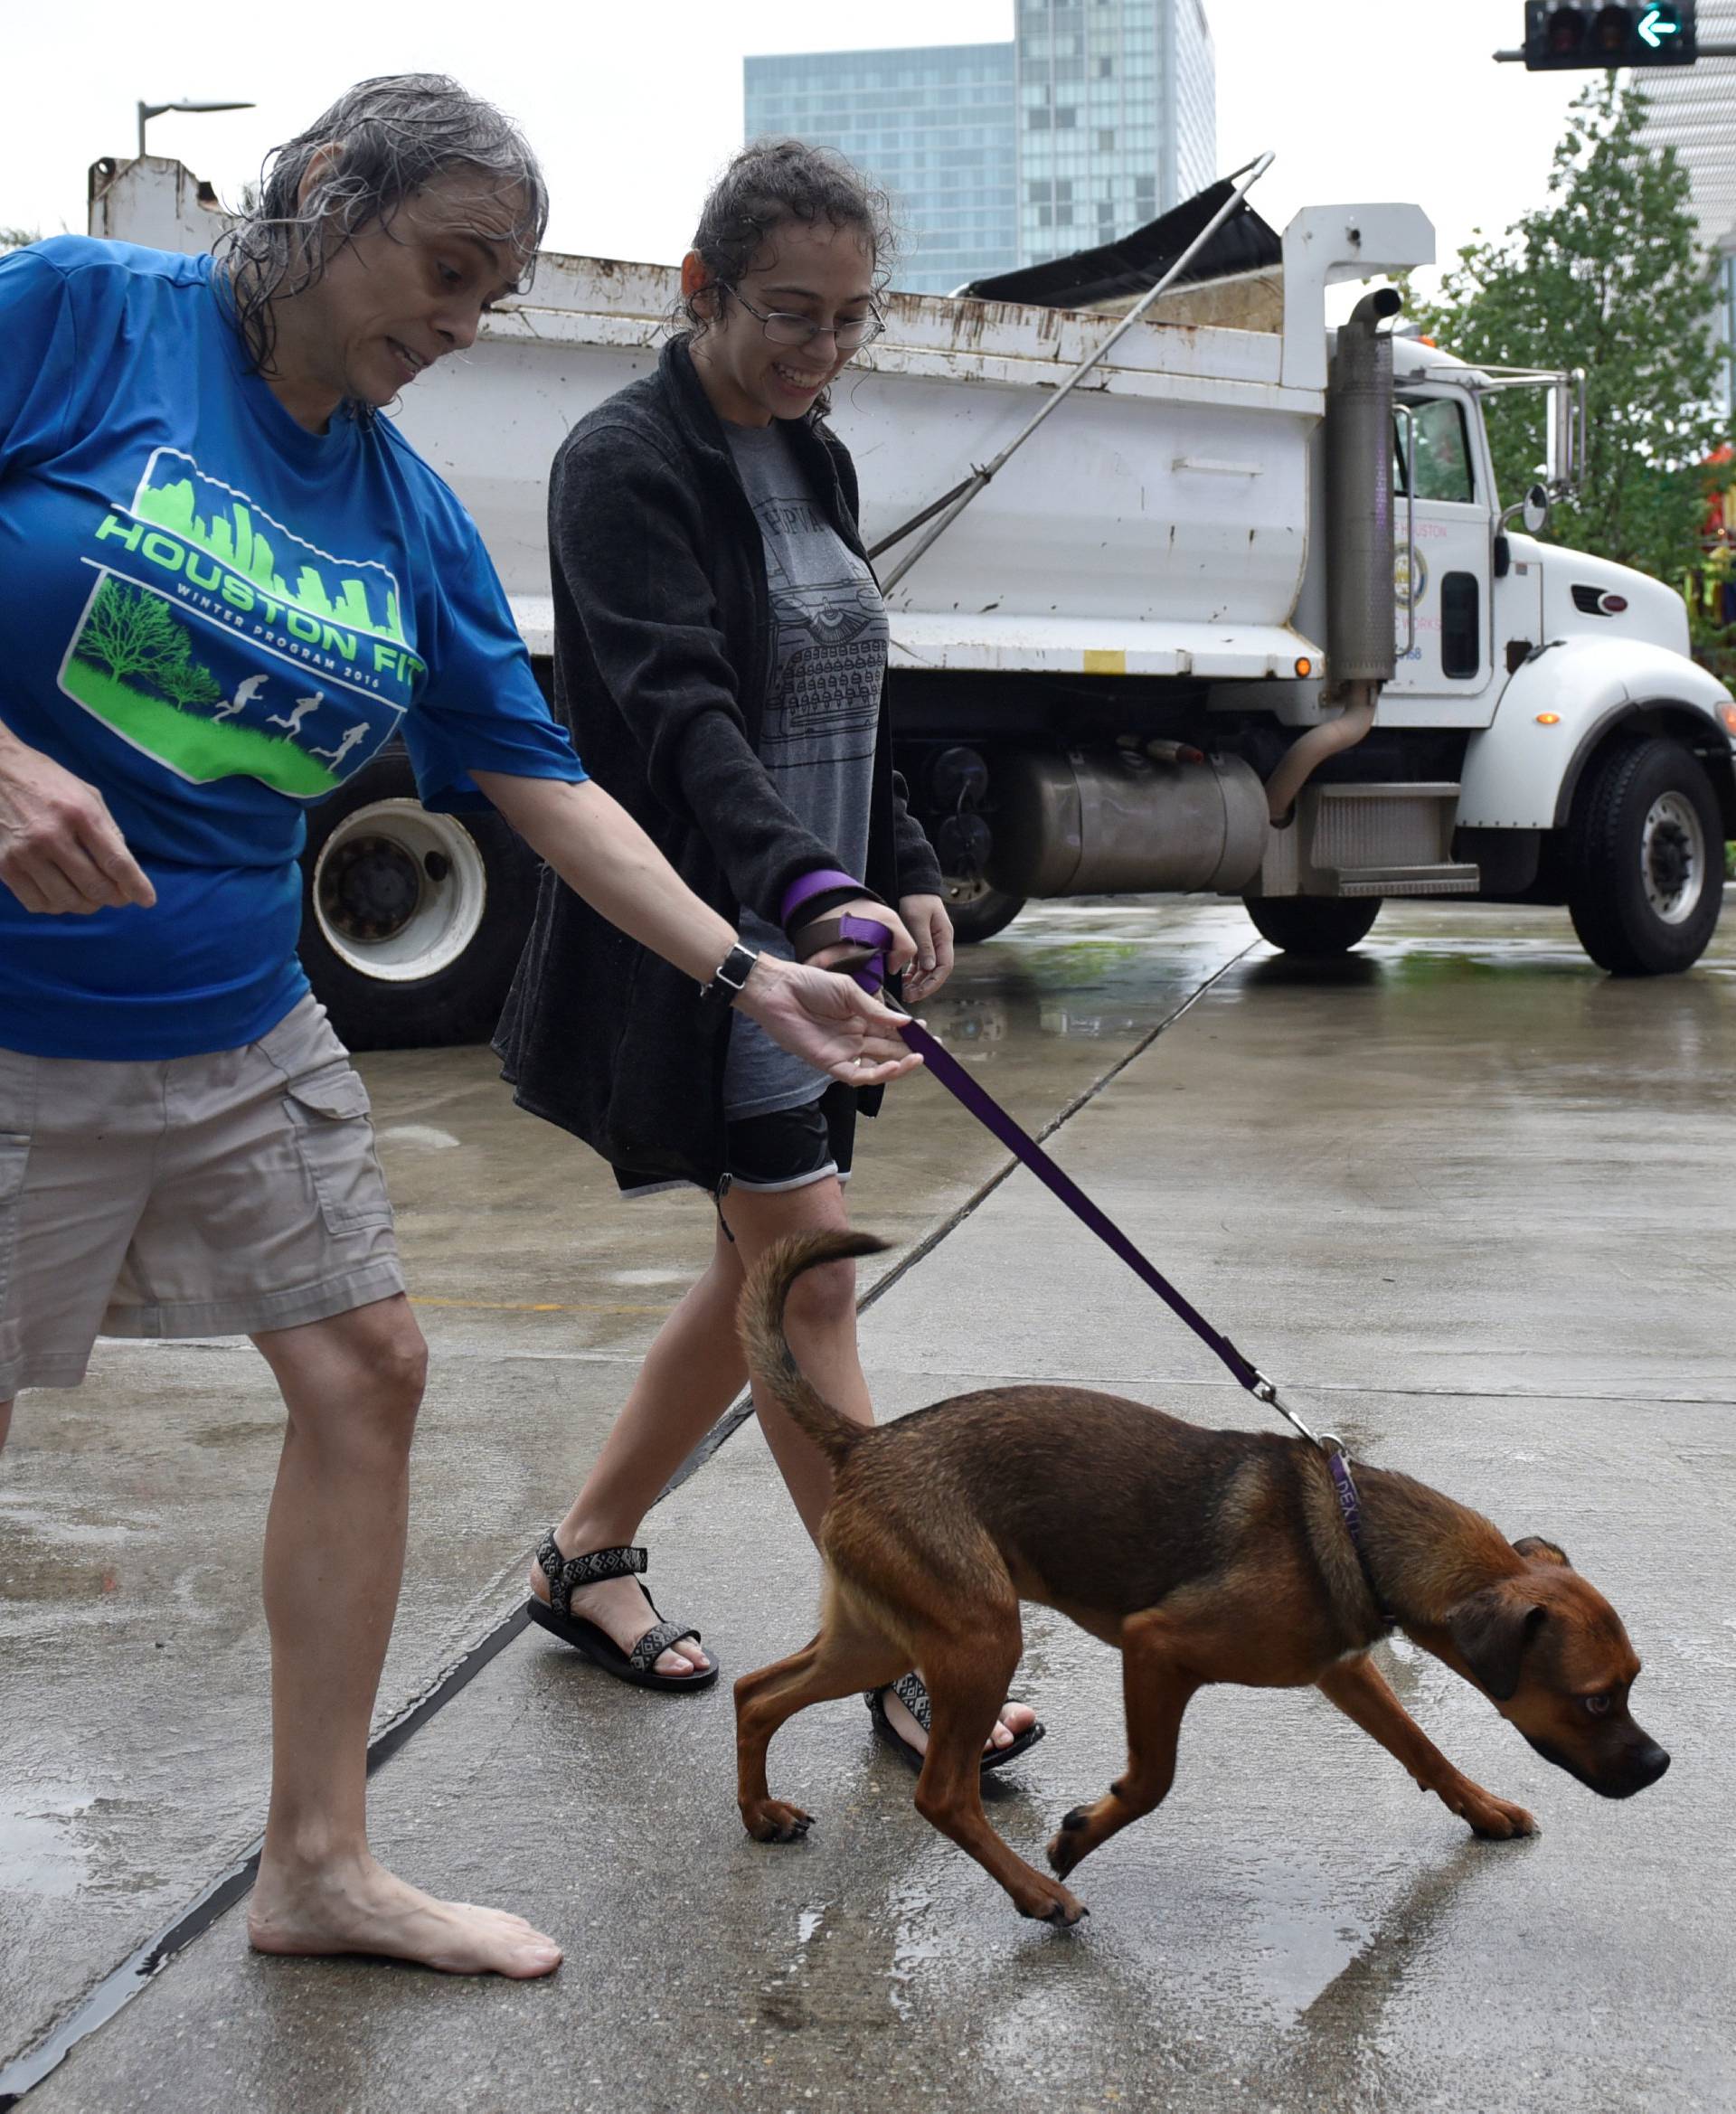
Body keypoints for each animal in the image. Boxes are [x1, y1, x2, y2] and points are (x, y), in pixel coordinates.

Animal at [731, 1234, 1665, 1928]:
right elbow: (1152, 1781)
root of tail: (865, 1442)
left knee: (757, 1693)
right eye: (1594, 1700)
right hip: (981, 1641)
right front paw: (1080, 1835)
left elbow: (1421, 1746)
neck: (1357, 1532)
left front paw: (1482, 1809)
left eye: (1632, 1684)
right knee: (940, 1794)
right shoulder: (1157, 1649)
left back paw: (761, 1814)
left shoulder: (1344, 1671)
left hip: (882, 1640)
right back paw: (1039, 1893)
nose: (1660, 1766)